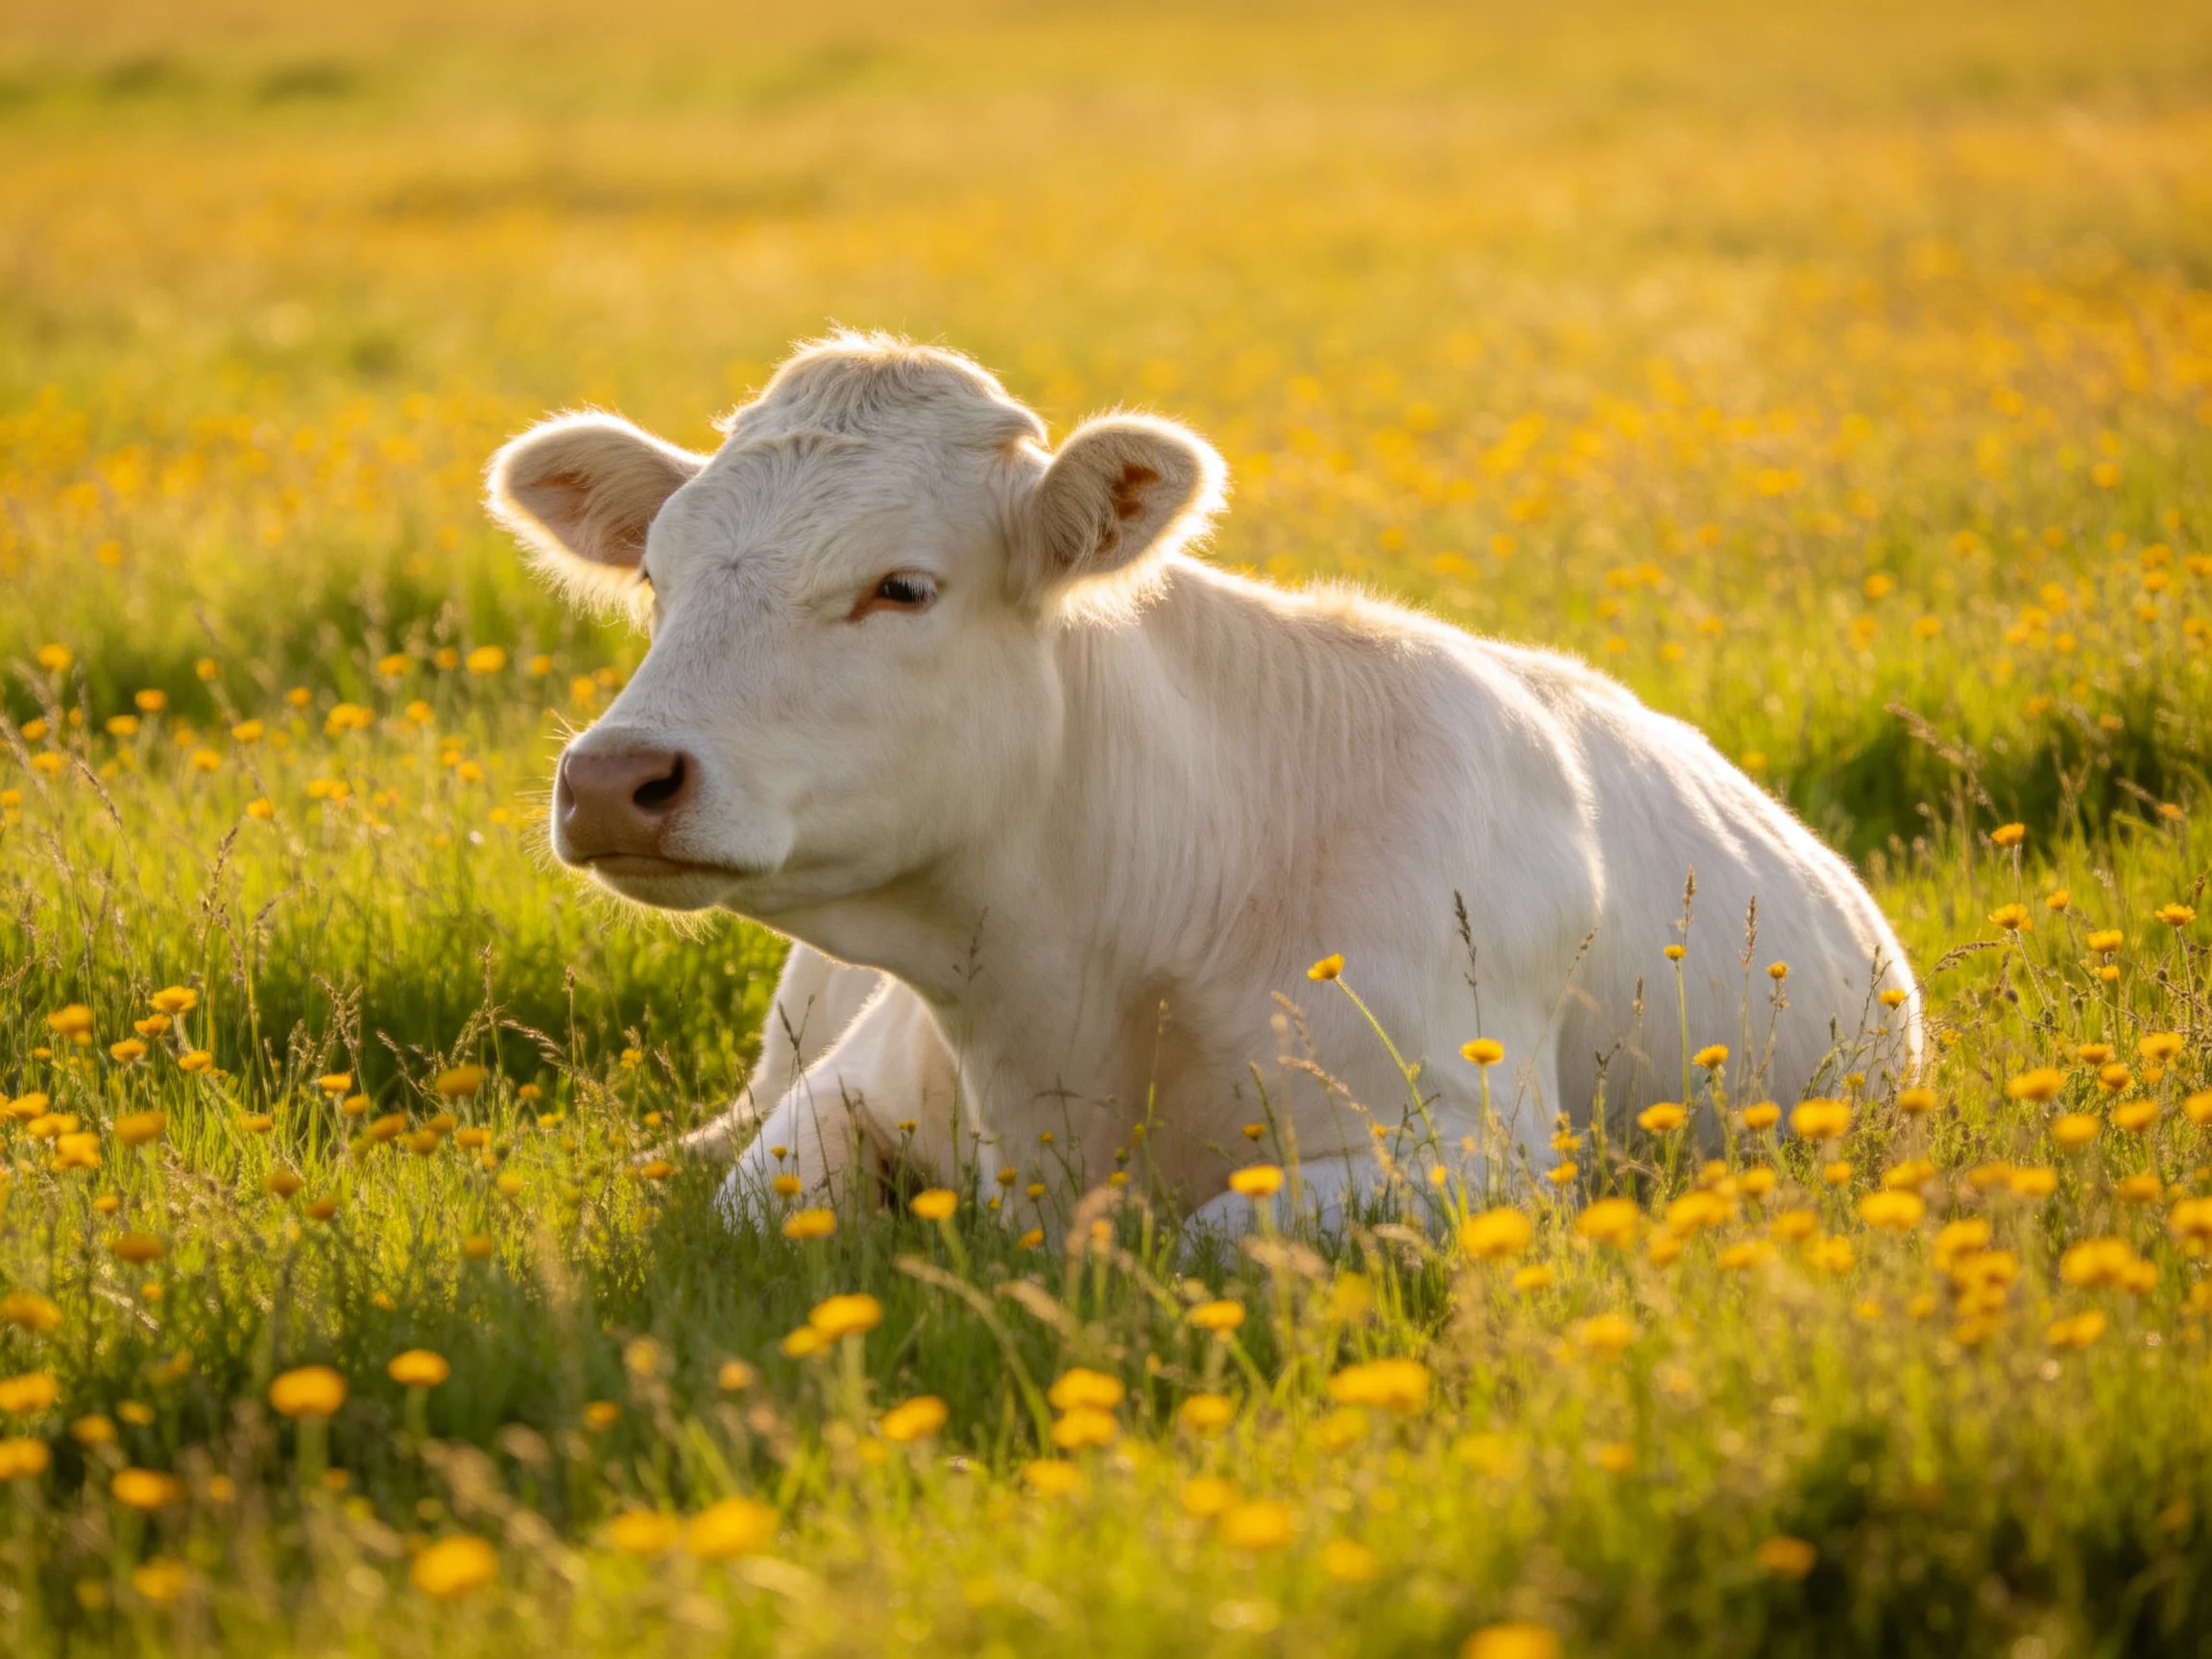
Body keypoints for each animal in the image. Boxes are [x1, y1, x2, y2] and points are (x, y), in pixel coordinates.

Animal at [487, 332, 1919, 1236]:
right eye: (657, 577)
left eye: (901, 585)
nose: (614, 777)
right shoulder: (832, 1098)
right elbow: (751, 1212)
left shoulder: (1479, 1155)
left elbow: (1214, 1240)